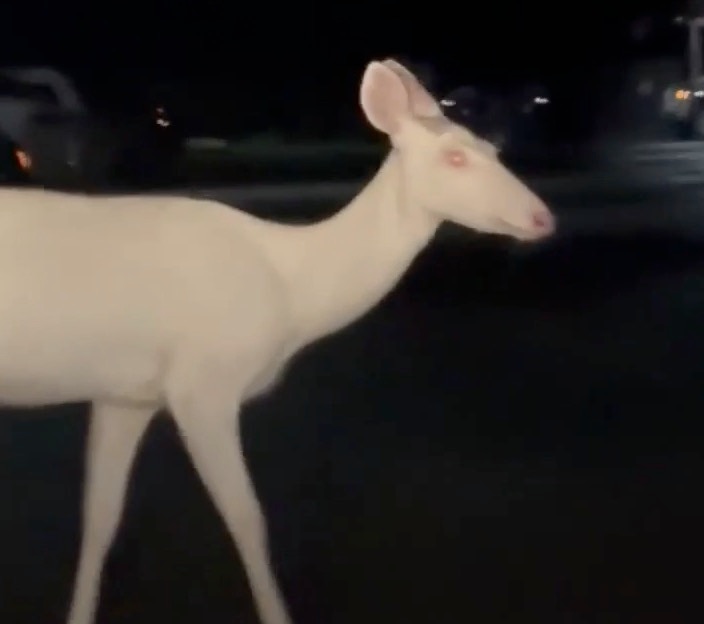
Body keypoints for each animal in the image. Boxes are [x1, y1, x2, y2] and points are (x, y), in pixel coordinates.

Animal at [0, 58, 555, 624]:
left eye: (495, 150)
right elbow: (248, 517)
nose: (543, 217)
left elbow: (99, 517)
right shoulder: (203, 384)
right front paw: (277, 614)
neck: (292, 293)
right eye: (455, 156)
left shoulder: (126, 393)